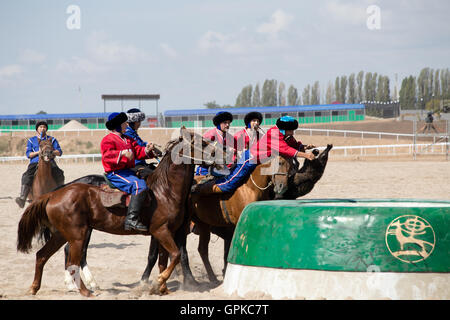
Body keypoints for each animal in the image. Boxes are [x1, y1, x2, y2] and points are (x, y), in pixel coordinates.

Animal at [16, 126, 221, 296]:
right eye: (202, 143)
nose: (221, 155)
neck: (165, 190)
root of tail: (55, 194)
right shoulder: (162, 231)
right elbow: (176, 255)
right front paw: (157, 282)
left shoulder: (166, 232)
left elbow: (163, 259)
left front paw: (161, 288)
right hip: (78, 235)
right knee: (73, 258)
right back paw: (85, 289)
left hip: (62, 234)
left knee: (42, 255)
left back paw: (37, 288)